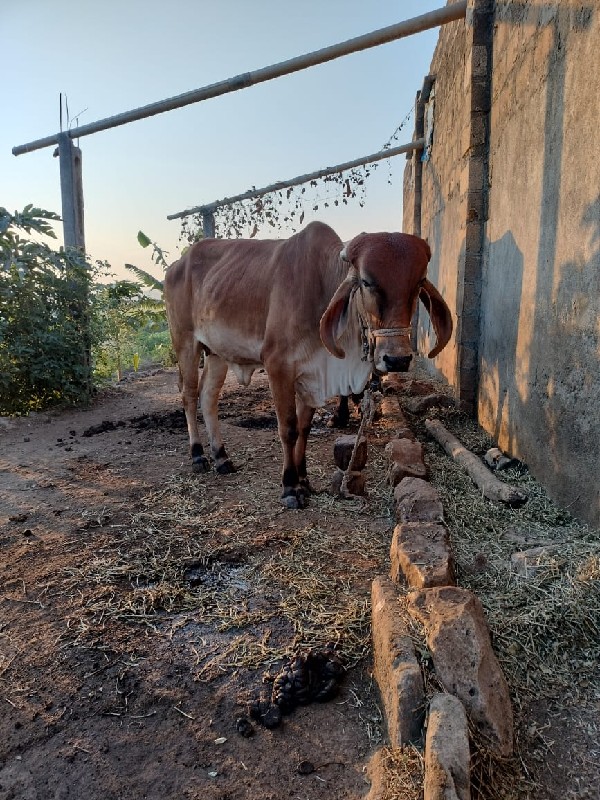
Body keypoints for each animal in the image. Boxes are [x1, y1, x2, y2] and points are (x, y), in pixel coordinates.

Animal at [162, 220, 452, 506]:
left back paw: (221, 457)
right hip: (185, 343)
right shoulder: (278, 367)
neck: (321, 284)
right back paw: (198, 455)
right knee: (189, 396)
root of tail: (178, 264)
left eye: (419, 282)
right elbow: (289, 429)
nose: (397, 359)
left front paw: (304, 481)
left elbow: (304, 428)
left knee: (208, 398)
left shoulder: (311, 374)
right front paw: (290, 487)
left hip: (216, 353)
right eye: (367, 281)